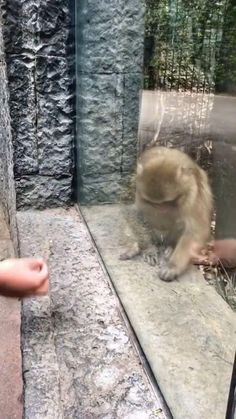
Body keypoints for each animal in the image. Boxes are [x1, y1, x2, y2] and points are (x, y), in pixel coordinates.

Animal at [121, 147, 213, 282]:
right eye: (153, 203)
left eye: (167, 202)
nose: (160, 210)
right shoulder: (137, 187)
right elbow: (133, 211)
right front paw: (149, 249)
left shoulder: (193, 193)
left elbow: (196, 230)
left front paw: (172, 267)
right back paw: (137, 246)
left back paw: (170, 247)